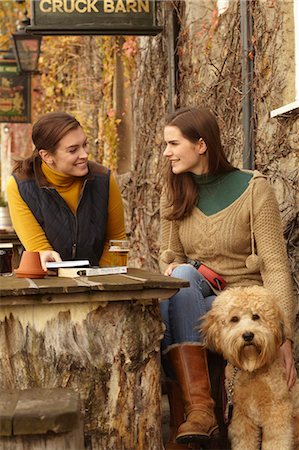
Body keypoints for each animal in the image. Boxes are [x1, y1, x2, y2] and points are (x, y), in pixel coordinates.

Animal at [202, 286, 299, 448]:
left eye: (256, 316)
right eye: (234, 319)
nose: (248, 335)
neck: (252, 369)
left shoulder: (277, 413)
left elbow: (277, 442)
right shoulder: (241, 418)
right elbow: (245, 442)